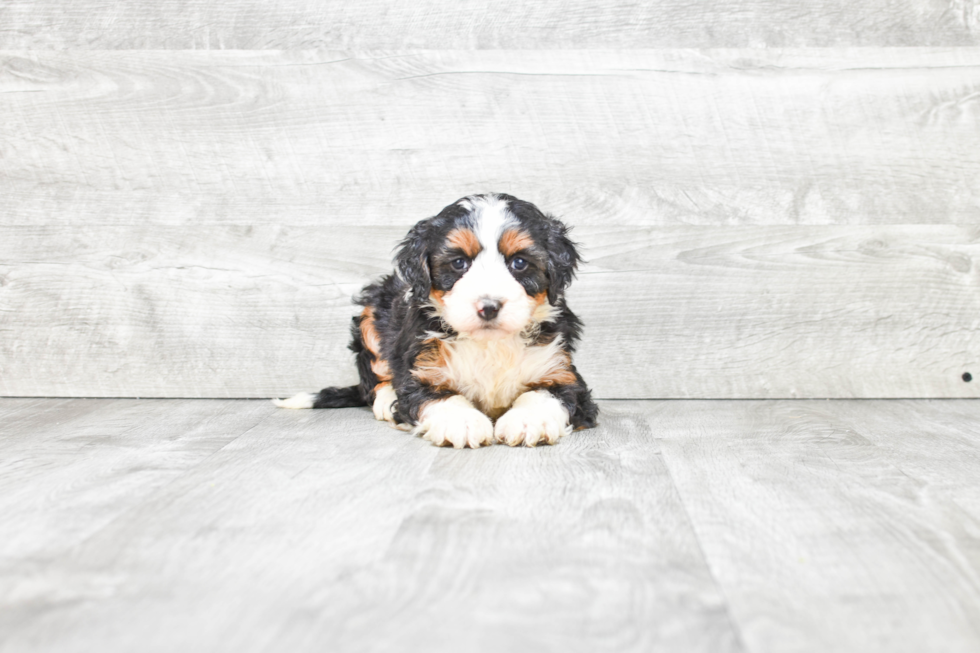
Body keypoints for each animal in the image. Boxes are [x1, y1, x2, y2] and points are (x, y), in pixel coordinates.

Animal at [274, 192, 596, 448]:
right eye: (459, 263)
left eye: (519, 262)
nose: (489, 307)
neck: (489, 344)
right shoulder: (420, 371)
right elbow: (440, 396)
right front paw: (463, 423)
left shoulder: (562, 372)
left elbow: (546, 394)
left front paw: (528, 421)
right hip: (372, 316)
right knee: (373, 379)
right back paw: (384, 400)